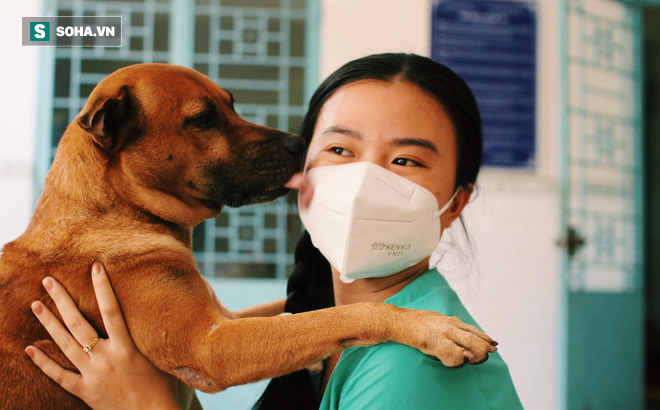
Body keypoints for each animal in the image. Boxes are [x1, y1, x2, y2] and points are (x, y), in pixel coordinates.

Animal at [0, 62, 496, 408]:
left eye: (232, 104)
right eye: (202, 119)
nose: (300, 145)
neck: (114, 210)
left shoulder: (226, 316)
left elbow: (305, 313)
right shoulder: (208, 347)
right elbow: (339, 315)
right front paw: (431, 326)